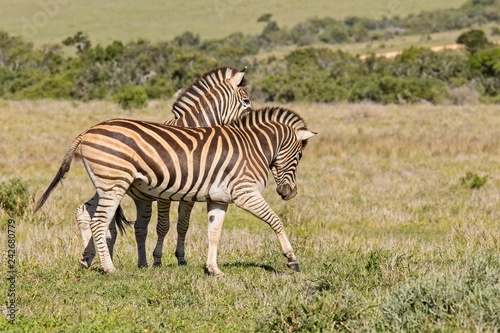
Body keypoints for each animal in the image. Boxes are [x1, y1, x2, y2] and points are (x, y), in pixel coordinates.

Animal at [34, 106, 316, 274]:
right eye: (300, 156)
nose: (290, 193)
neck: (254, 147)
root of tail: (87, 131)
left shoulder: (219, 199)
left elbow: (214, 233)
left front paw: (213, 269)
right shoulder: (244, 192)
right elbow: (276, 221)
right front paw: (291, 259)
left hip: (106, 183)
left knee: (85, 211)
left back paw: (87, 258)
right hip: (114, 182)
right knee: (99, 221)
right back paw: (109, 268)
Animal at [74, 66, 252, 268]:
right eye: (246, 101)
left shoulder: (190, 194)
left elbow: (183, 225)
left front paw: (181, 258)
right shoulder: (164, 194)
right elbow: (163, 226)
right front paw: (157, 259)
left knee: (89, 213)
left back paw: (89, 257)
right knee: (92, 215)